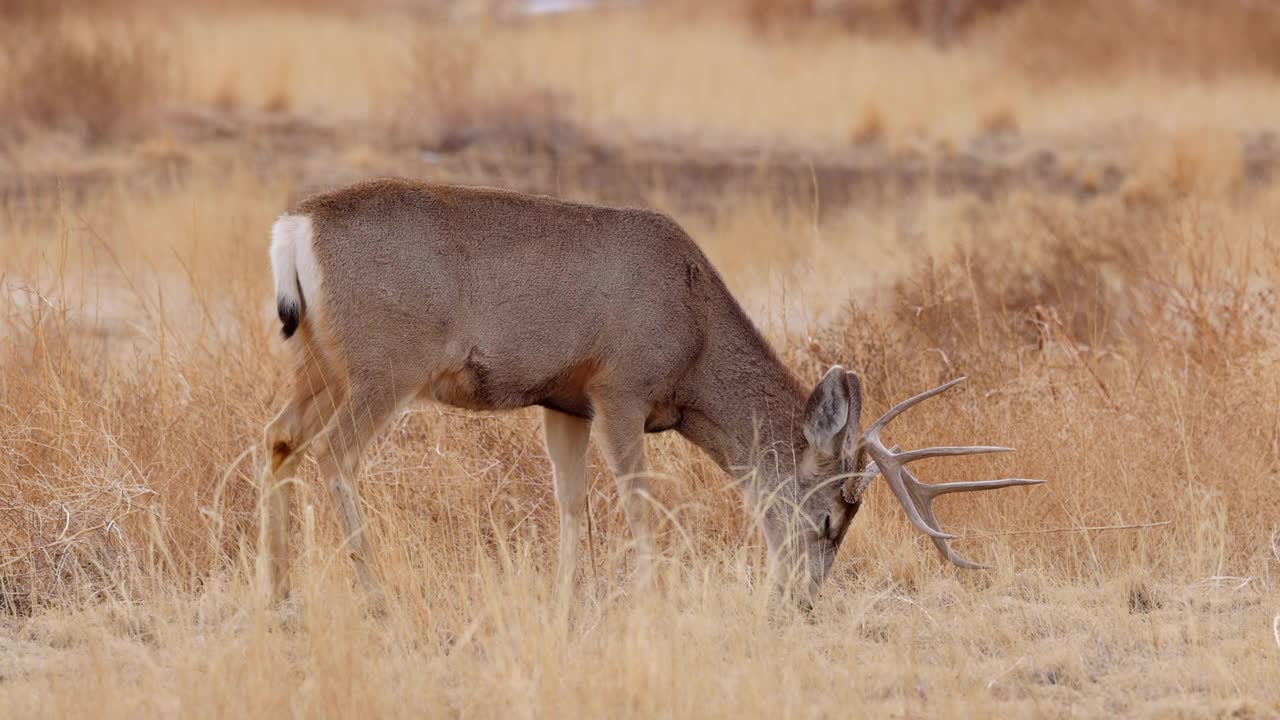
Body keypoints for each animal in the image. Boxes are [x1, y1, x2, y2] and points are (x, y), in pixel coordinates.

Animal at [257, 178, 1039, 604]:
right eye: (826, 520)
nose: (800, 600)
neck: (693, 333)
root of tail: (294, 226)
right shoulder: (620, 387)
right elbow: (640, 504)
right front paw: (648, 597)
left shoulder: (562, 401)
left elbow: (571, 507)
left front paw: (569, 602)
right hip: (385, 365)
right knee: (334, 456)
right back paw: (375, 596)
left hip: (318, 364)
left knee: (278, 440)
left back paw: (281, 591)